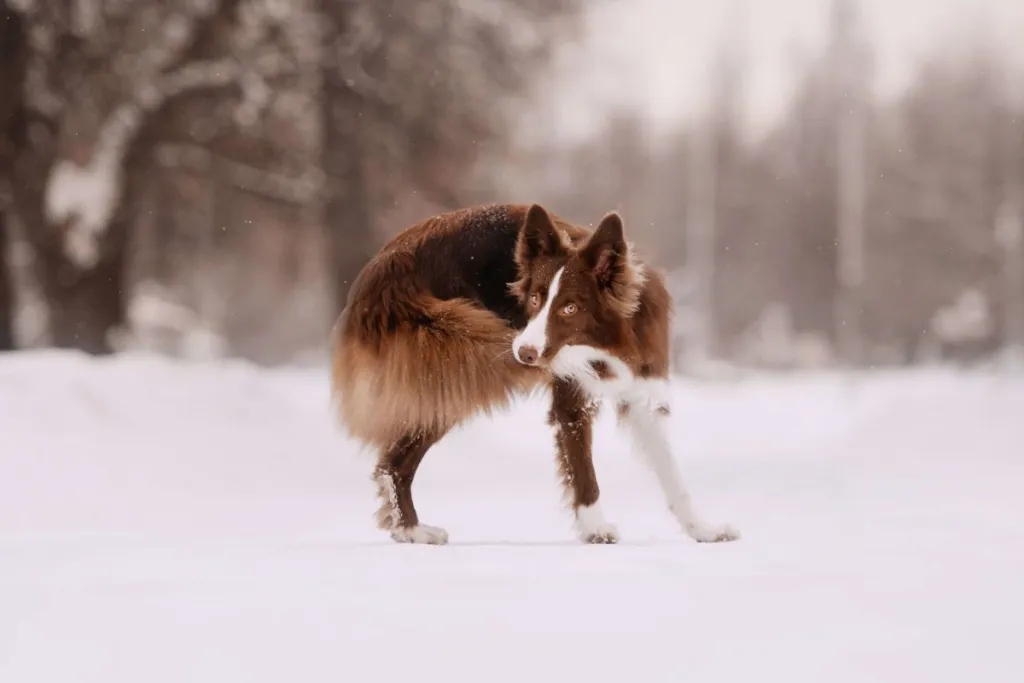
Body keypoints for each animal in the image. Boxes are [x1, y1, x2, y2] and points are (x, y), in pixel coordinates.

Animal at [331, 201, 741, 544]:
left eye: (570, 308)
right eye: (533, 299)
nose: (524, 353)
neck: (603, 344)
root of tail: (381, 269)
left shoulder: (643, 389)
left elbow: (672, 472)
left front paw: (702, 529)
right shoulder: (572, 400)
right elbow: (583, 470)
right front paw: (595, 530)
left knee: (393, 462)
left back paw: (408, 530)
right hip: (460, 362)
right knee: (394, 463)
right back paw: (412, 530)